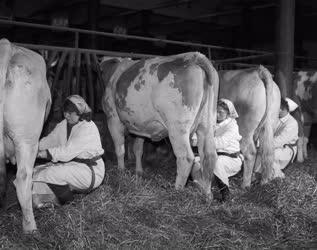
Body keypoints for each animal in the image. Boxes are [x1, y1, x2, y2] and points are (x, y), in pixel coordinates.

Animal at [100, 52, 218, 197]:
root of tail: (194, 56)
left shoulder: (113, 119)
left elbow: (120, 149)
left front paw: (121, 172)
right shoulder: (140, 125)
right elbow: (138, 149)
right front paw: (138, 171)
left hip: (178, 127)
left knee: (186, 157)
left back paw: (177, 191)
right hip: (207, 124)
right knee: (209, 155)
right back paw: (207, 195)